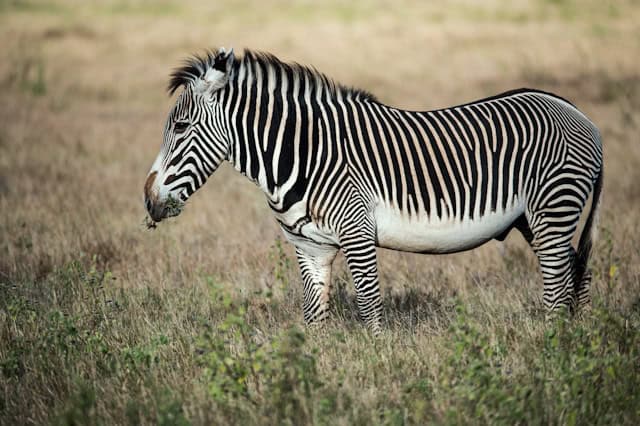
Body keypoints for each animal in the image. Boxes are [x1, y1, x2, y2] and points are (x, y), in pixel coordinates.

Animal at [142, 48, 604, 332]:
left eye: (180, 127)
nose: (148, 201)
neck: (302, 155)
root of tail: (576, 111)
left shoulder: (357, 232)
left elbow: (369, 305)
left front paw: (380, 361)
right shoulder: (310, 246)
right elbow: (314, 316)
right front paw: (310, 373)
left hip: (553, 208)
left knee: (557, 285)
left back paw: (551, 345)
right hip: (534, 219)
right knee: (574, 273)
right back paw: (573, 341)